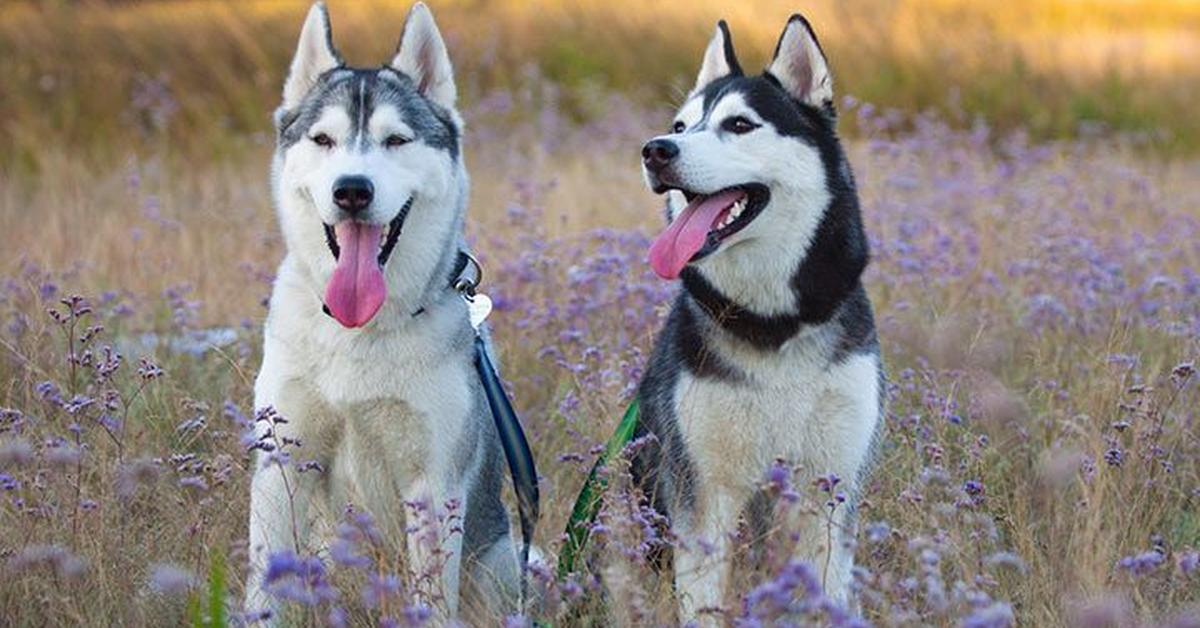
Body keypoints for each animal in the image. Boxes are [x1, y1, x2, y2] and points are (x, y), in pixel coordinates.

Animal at [248, 1, 516, 619]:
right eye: (323, 139)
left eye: (396, 140)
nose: (352, 189)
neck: (359, 331)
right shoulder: (279, 468)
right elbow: (262, 590)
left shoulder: (434, 483)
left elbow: (431, 604)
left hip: (505, 561)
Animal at [638, 17, 883, 619]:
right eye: (681, 125)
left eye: (740, 125)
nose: (656, 150)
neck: (773, 326)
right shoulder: (704, 493)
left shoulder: (829, 488)